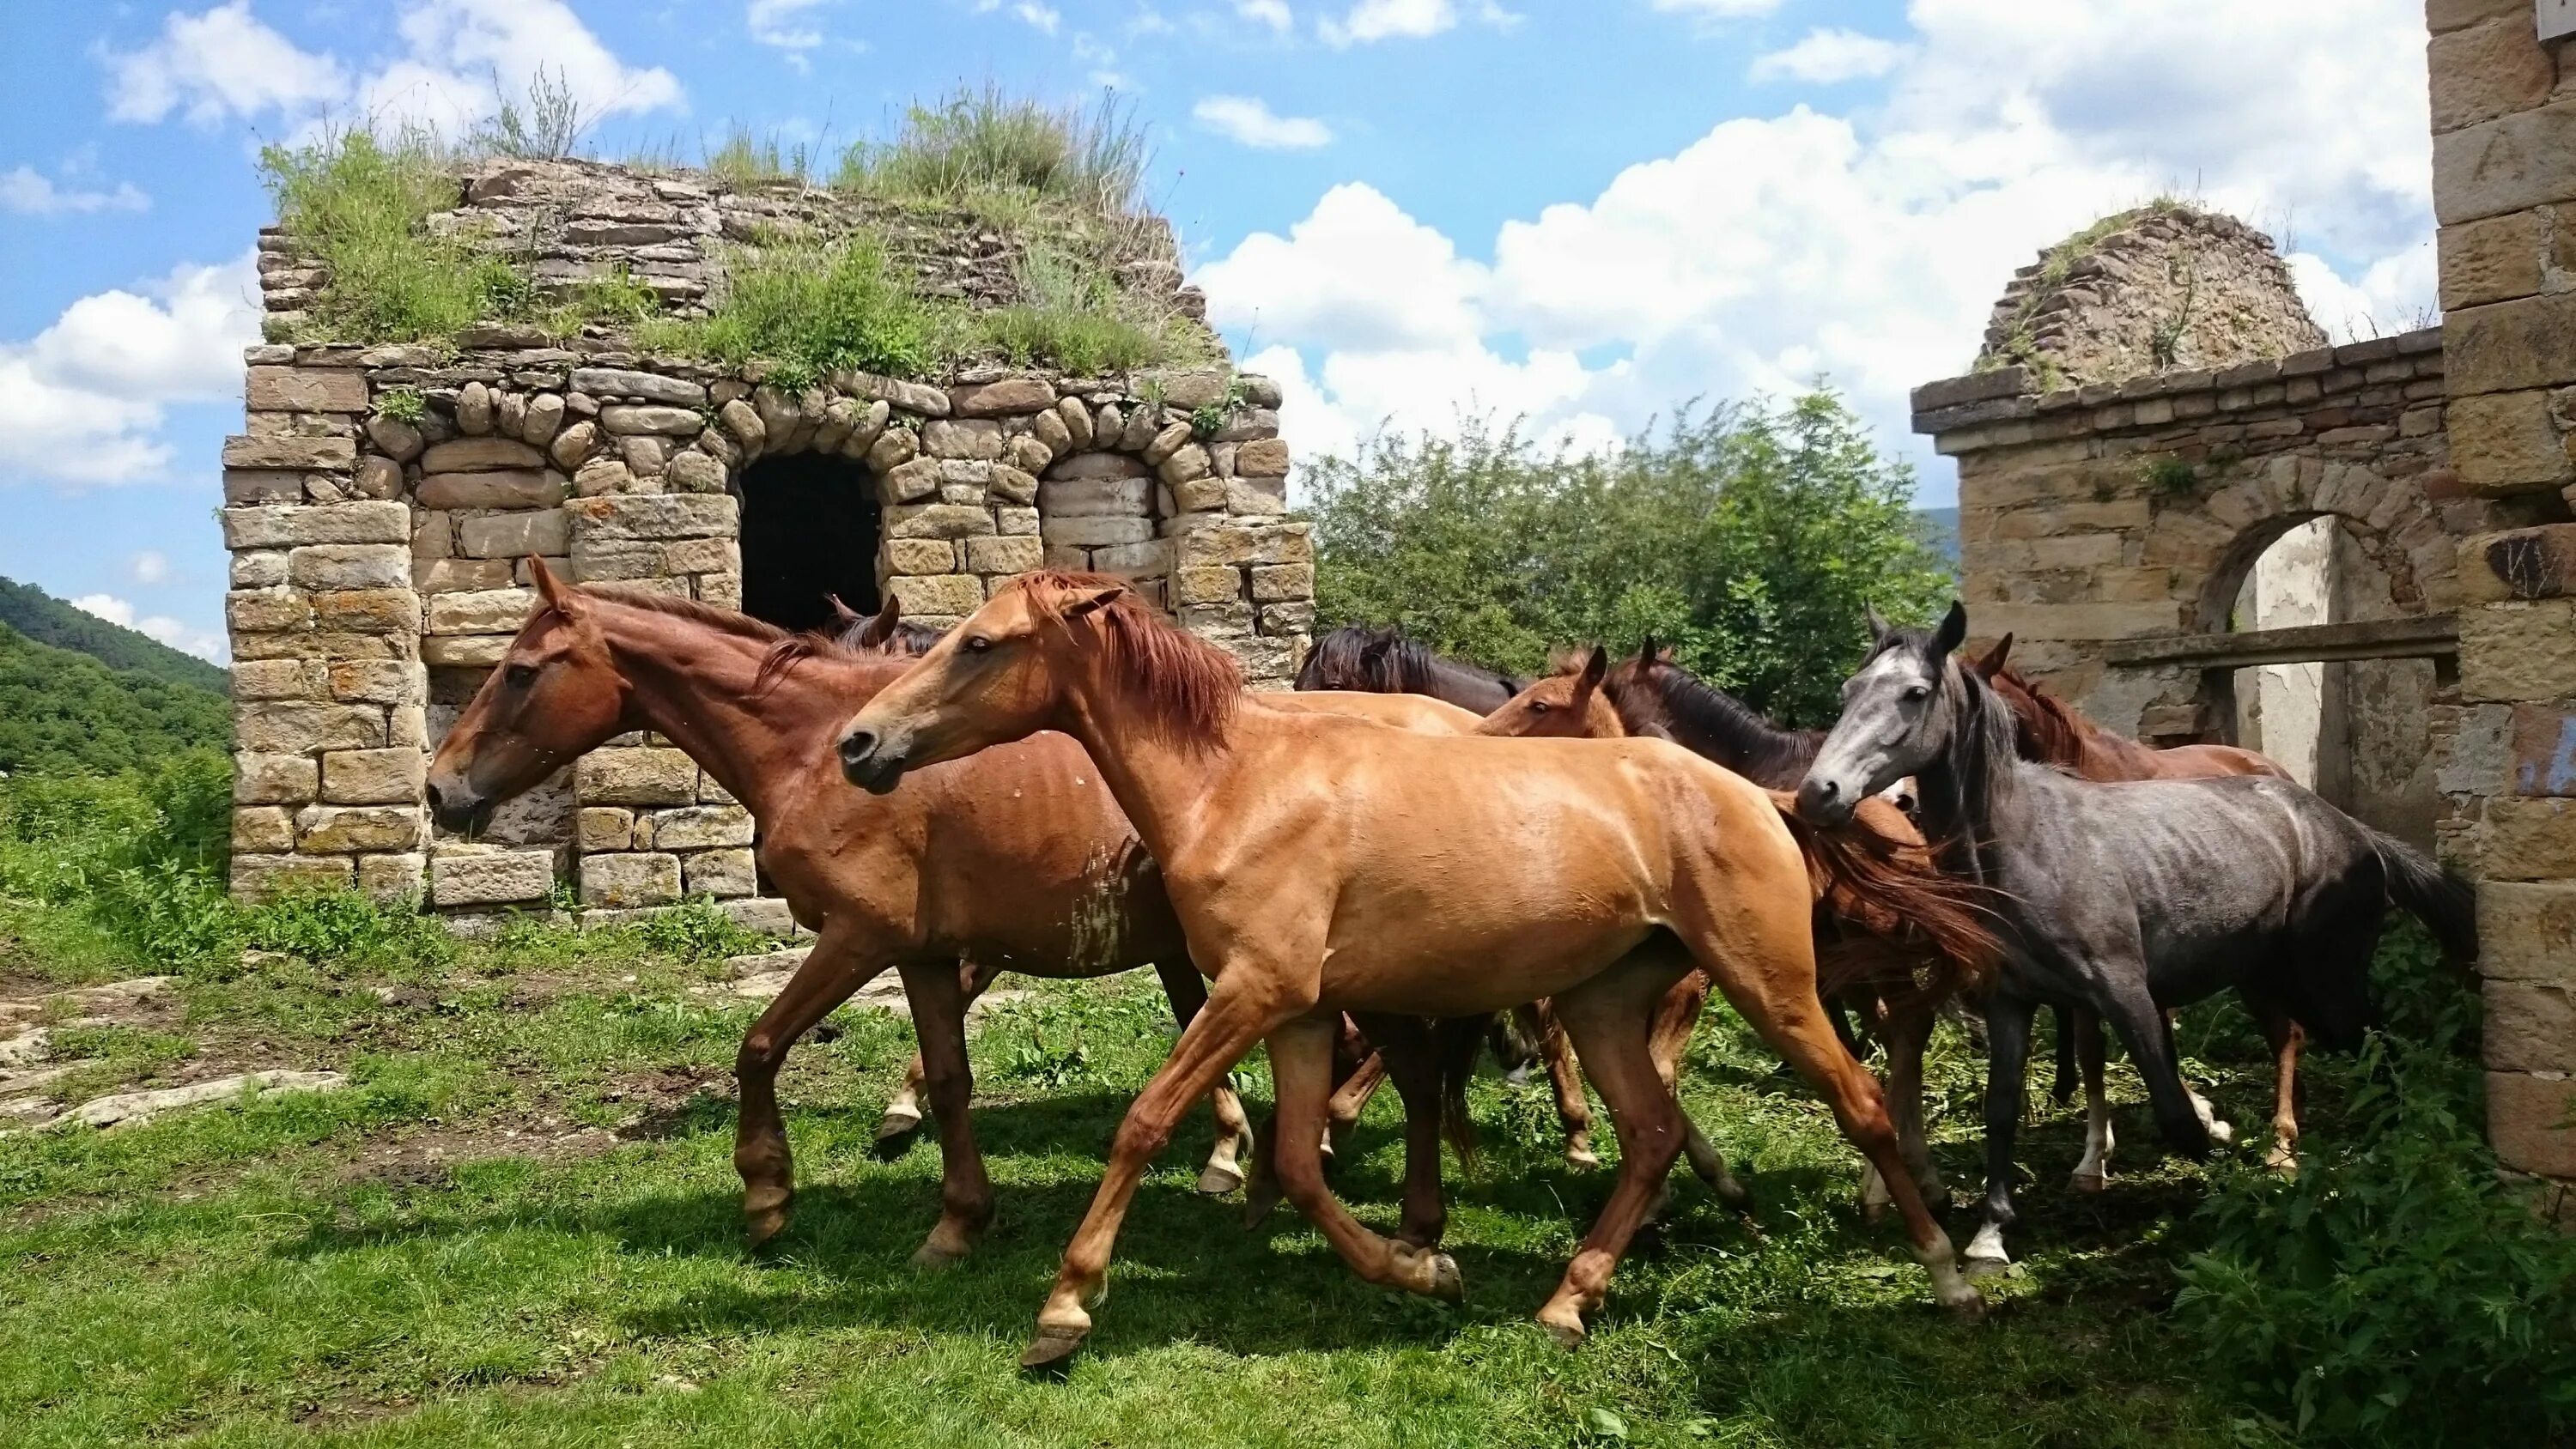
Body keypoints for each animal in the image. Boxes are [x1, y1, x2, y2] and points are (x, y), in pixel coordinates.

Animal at [835, 573, 1978, 1369]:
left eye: (982, 643)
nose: (858, 742)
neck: (1236, 784)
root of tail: (1767, 795)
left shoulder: (1252, 992)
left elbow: (1148, 1121)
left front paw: (1064, 1307)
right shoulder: (1295, 1010)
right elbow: (1299, 1164)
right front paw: (1424, 1266)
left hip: (1769, 984)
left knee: (1861, 1101)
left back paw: (1950, 1272)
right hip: (1603, 1001)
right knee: (1652, 1133)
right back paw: (1567, 1299)